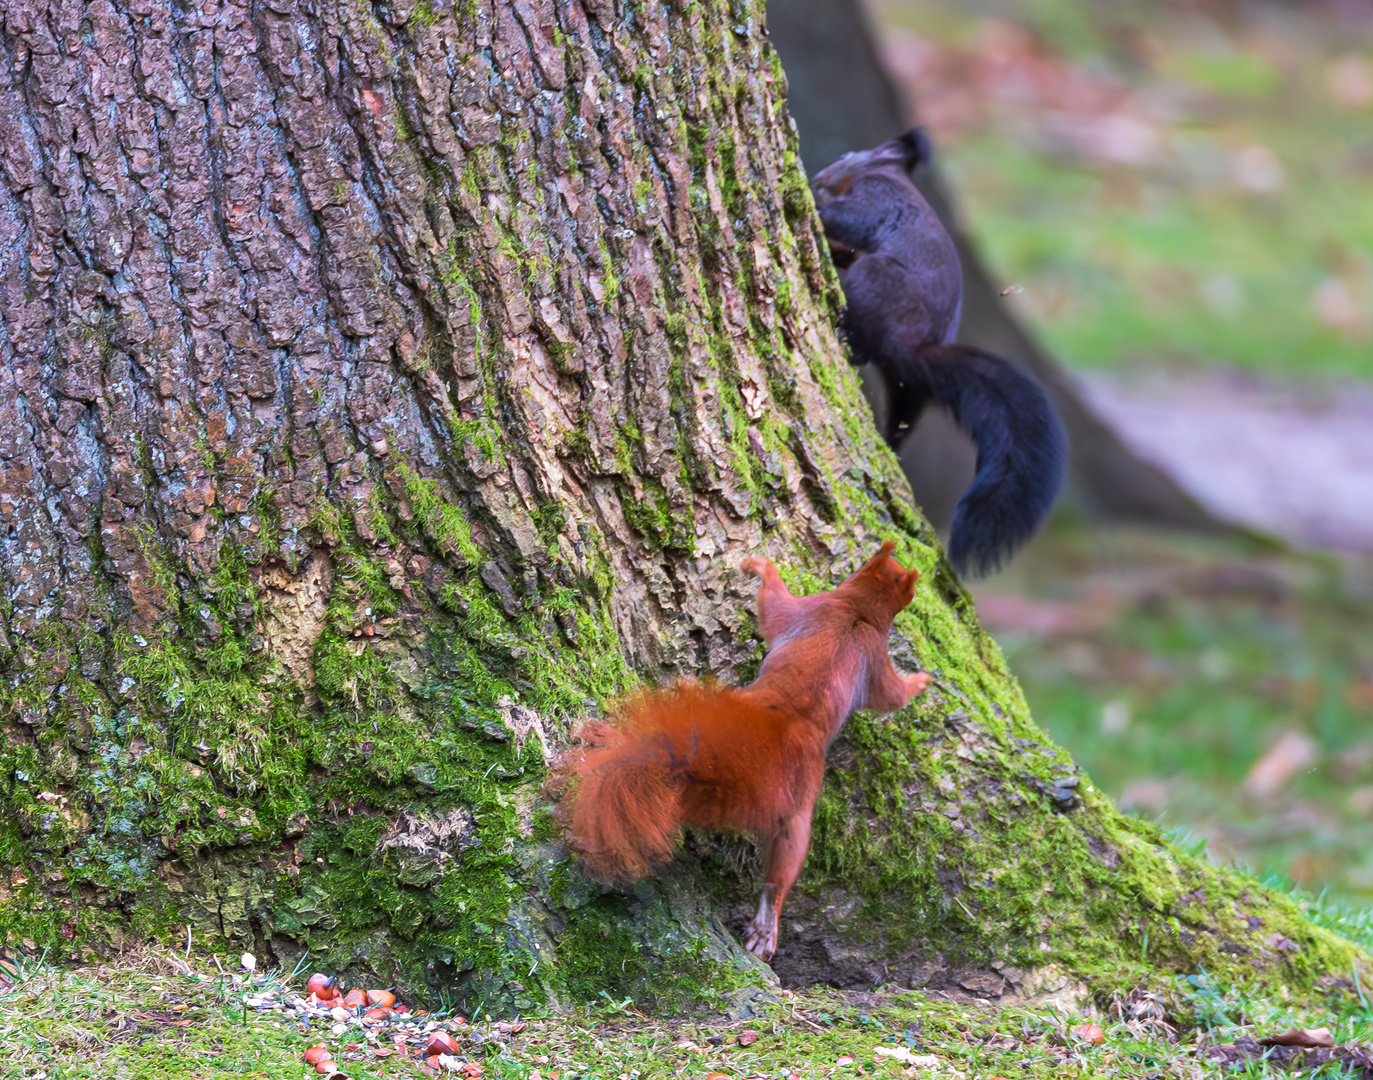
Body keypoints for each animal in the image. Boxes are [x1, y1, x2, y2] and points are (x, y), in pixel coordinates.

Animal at [549, 546, 933, 960]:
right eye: (907, 584)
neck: (857, 609)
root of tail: (780, 726)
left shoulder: (843, 633)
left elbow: (888, 693)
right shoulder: (835, 623)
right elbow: (888, 693)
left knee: (780, 869)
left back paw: (765, 925)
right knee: (782, 869)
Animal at [807, 129, 1065, 579]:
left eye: (845, 156)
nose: (822, 175)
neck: (892, 174)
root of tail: (914, 352)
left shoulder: (879, 198)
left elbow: (850, 220)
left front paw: (810, 196)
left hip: (874, 282)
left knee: (862, 347)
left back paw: (845, 336)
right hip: (907, 390)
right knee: (904, 414)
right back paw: (890, 443)